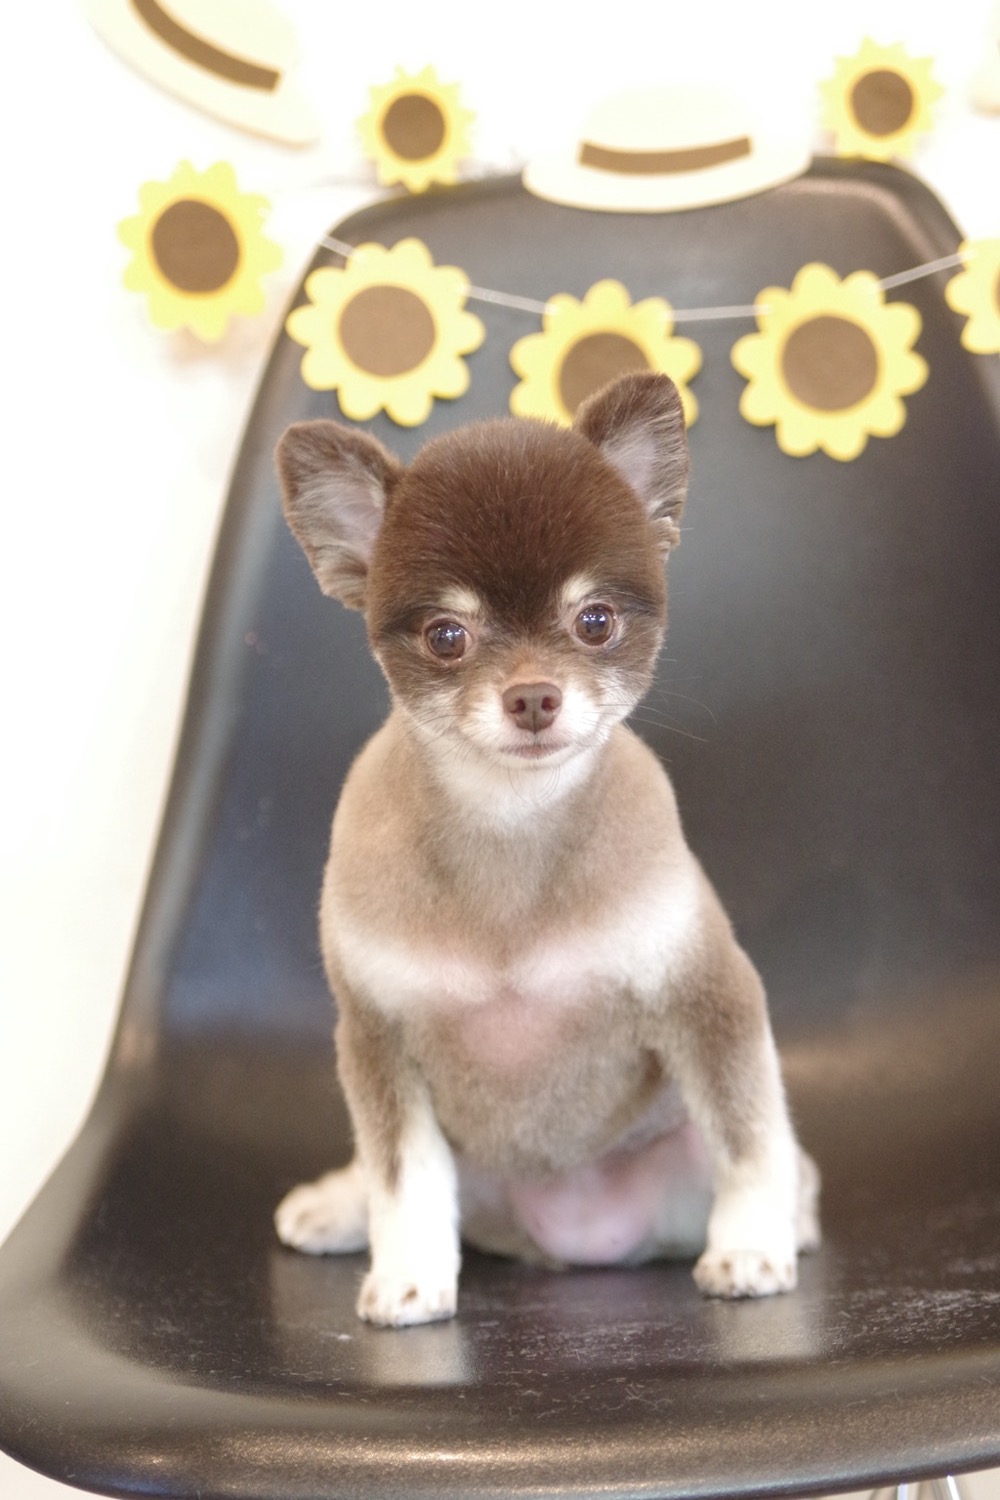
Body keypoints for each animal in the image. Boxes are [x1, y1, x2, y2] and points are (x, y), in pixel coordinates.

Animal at [273, 372, 820, 1327]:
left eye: (595, 620)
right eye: (445, 636)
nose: (533, 696)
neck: (512, 830)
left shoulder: (710, 1001)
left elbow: (749, 1137)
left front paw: (750, 1248)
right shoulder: (376, 1037)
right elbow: (401, 1174)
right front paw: (410, 1275)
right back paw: (338, 1206)